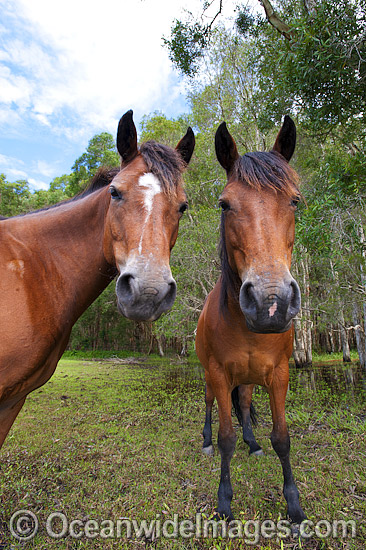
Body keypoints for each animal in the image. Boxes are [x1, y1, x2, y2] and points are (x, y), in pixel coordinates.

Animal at [197, 116, 306, 528]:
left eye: (294, 200)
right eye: (225, 204)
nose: (269, 303)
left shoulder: (279, 374)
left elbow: (282, 438)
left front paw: (294, 506)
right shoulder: (217, 372)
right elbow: (226, 436)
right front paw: (224, 502)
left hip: (247, 378)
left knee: (243, 404)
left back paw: (253, 442)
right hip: (210, 377)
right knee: (211, 406)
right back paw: (206, 441)